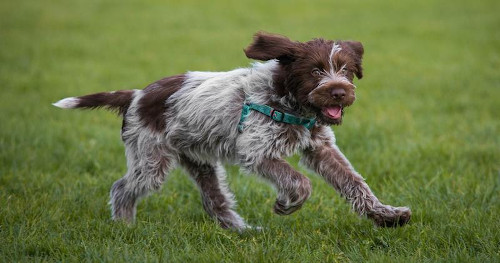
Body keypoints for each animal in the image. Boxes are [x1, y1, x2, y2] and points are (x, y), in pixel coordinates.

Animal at [52, 32, 410, 232]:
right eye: (315, 71)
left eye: (346, 70)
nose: (339, 92)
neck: (288, 100)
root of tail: (136, 95)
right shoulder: (258, 151)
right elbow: (300, 182)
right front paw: (286, 205)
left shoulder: (321, 148)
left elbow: (355, 184)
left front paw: (386, 216)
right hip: (151, 158)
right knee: (122, 188)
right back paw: (124, 227)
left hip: (199, 161)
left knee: (216, 202)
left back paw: (243, 231)